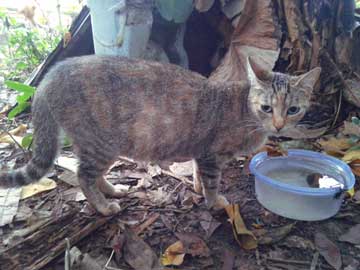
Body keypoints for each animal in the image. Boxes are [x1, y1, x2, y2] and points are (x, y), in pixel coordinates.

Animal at [0, 56, 320, 216]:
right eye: (267, 108)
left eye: (293, 109)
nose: (278, 125)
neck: (244, 109)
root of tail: (47, 79)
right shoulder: (212, 155)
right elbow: (212, 181)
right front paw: (215, 201)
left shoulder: (201, 152)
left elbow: (198, 174)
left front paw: (198, 189)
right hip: (100, 144)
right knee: (83, 177)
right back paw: (104, 206)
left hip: (94, 144)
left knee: (90, 174)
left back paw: (112, 190)